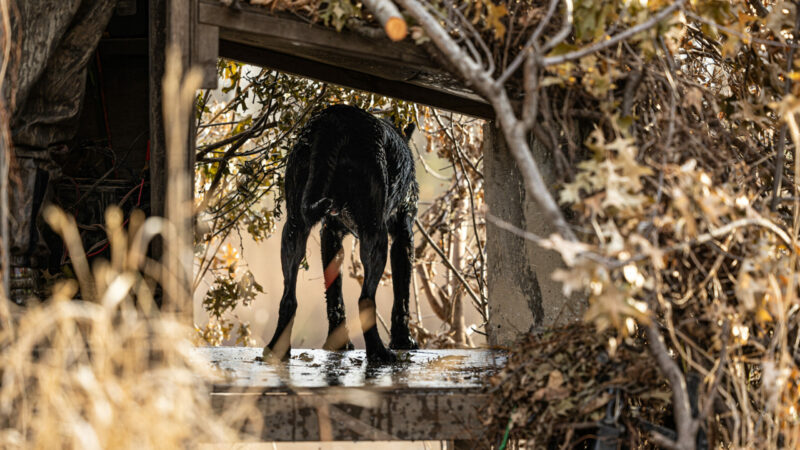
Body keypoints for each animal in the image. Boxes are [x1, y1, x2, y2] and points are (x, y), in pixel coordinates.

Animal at [266, 104, 422, 362]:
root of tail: (336, 118)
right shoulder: (403, 235)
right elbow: (402, 294)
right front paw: (403, 340)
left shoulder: (330, 234)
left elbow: (334, 294)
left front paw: (337, 343)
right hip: (375, 234)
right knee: (365, 298)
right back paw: (379, 352)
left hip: (294, 228)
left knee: (288, 298)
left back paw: (276, 350)